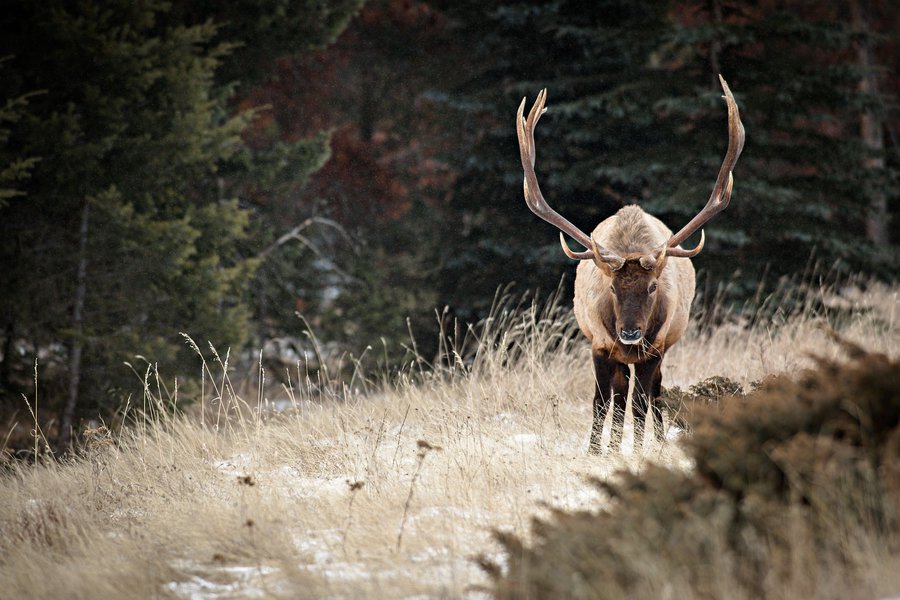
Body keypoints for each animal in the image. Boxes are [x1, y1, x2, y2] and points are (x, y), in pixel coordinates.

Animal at [516, 75, 740, 454]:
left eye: (652, 287)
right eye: (611, 287)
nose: (631, 332)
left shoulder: (655, 348)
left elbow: (641, 402)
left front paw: (636, 451)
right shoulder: (599, 344)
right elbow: (601, 402)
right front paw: (595, 452)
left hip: (661, 347)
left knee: (652, 396)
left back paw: (656, 441)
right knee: (619, 397)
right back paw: (613, 445)